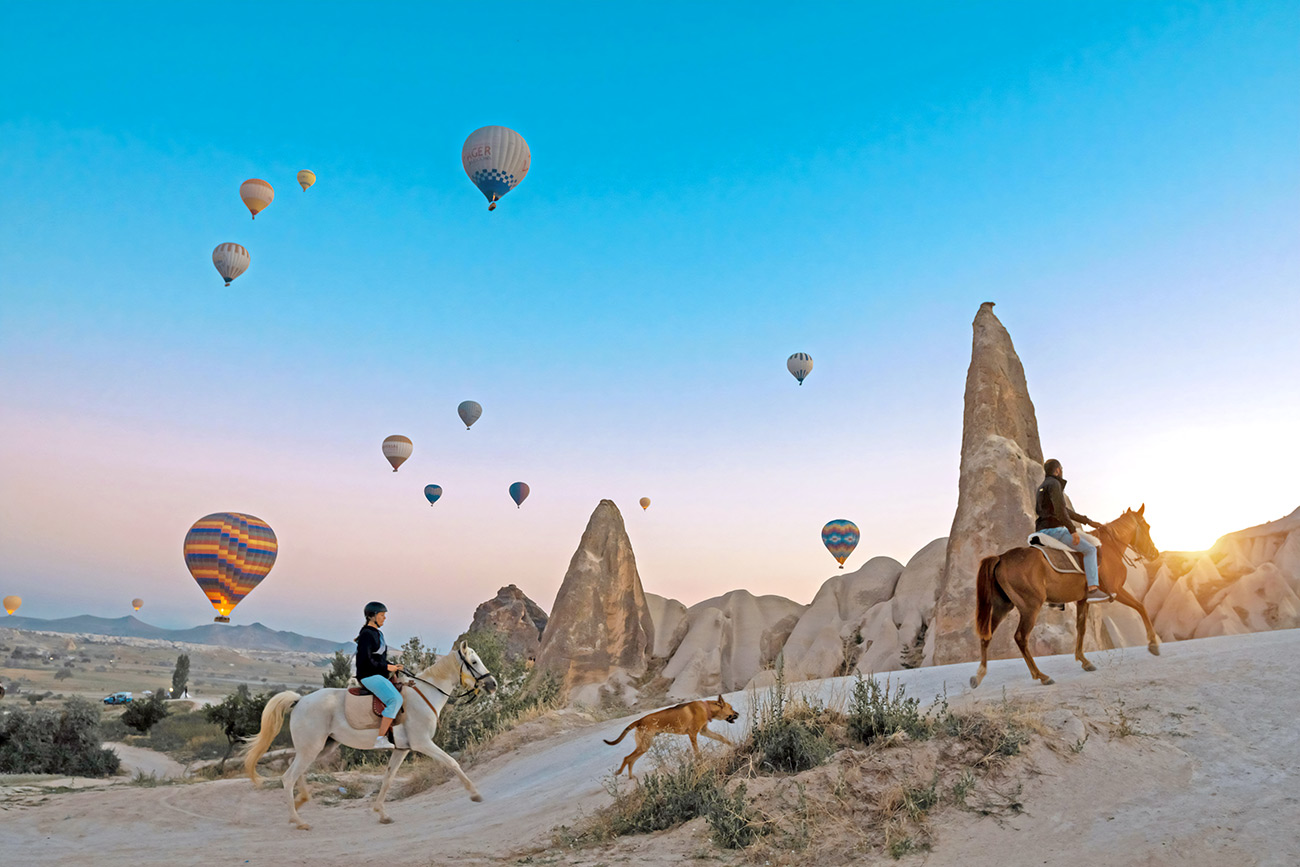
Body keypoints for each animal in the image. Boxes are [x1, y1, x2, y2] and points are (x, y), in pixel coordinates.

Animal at [241, 642, 493, 831]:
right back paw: (298, 820)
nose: (492, 684)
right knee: (288, 777)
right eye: (473, 662)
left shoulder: (402, 749)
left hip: (320, 748)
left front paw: (382, 813)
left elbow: (388, 779)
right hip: (312, 748)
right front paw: (475, 794)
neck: (424, 694)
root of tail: (300, 700)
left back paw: (301, 801)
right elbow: (452, 762)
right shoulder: (423, 743)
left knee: (296, 770)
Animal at [600, 696, 738, 779]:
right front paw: (700, 762)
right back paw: (620, 772)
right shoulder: (692, 734)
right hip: (644, 745)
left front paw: (733, 745)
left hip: (644, 746)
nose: (738, 713)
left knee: (631, 759)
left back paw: (630, 777)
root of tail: (639, 721)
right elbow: (697, 752)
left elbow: (721, 738)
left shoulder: (704, 731)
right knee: (627, 758)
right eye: (731, 708)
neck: (707, 708)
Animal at [972, 504, 1164, 686]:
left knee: (987, 635)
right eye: (1147, 526)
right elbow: (1141, 607)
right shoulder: (1115, 590)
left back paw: (979, 675)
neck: (1109, 547)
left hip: (1002, 606)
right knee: (1020, 637)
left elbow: (1081, 627)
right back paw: (1041, 676)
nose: (1154, 553)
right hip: (1030, 607)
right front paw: (1153, 644)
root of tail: (1001, 557)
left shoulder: (1083, 599)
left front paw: (1084, 661)